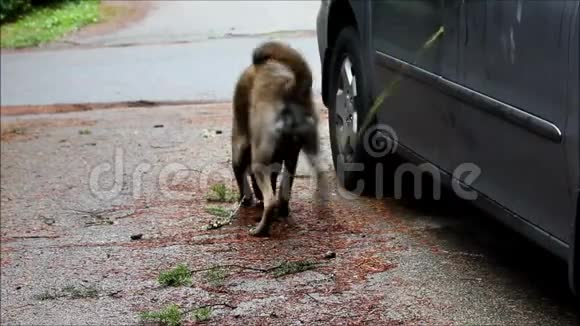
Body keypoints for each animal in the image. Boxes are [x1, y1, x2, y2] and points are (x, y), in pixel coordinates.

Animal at [233, 41, 328, 237]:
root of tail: (290, 87)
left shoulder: (239, 145)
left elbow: (240, 176)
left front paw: (246, 199)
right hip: (306, 149)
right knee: (290, 191)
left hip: (259, 161)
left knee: (271, 201)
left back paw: (260, 229)